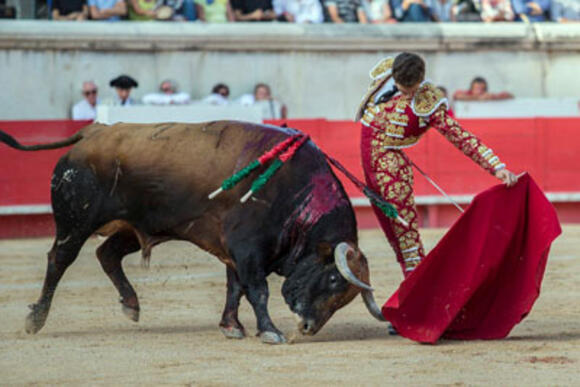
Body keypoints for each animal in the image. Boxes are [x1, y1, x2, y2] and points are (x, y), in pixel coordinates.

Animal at [0, 122, 386, 346]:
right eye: (334, 280)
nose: (306, 327)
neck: (295, 193)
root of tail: (93, 132)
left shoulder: (235, 250)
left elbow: (235, 289)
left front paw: (231, 326)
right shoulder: (247, 248)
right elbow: (256, 290)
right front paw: (270, 331)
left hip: (132, 225)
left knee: (106, 253)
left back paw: (131, 304)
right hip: (75, 223)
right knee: (59, 260)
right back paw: (35, 319)